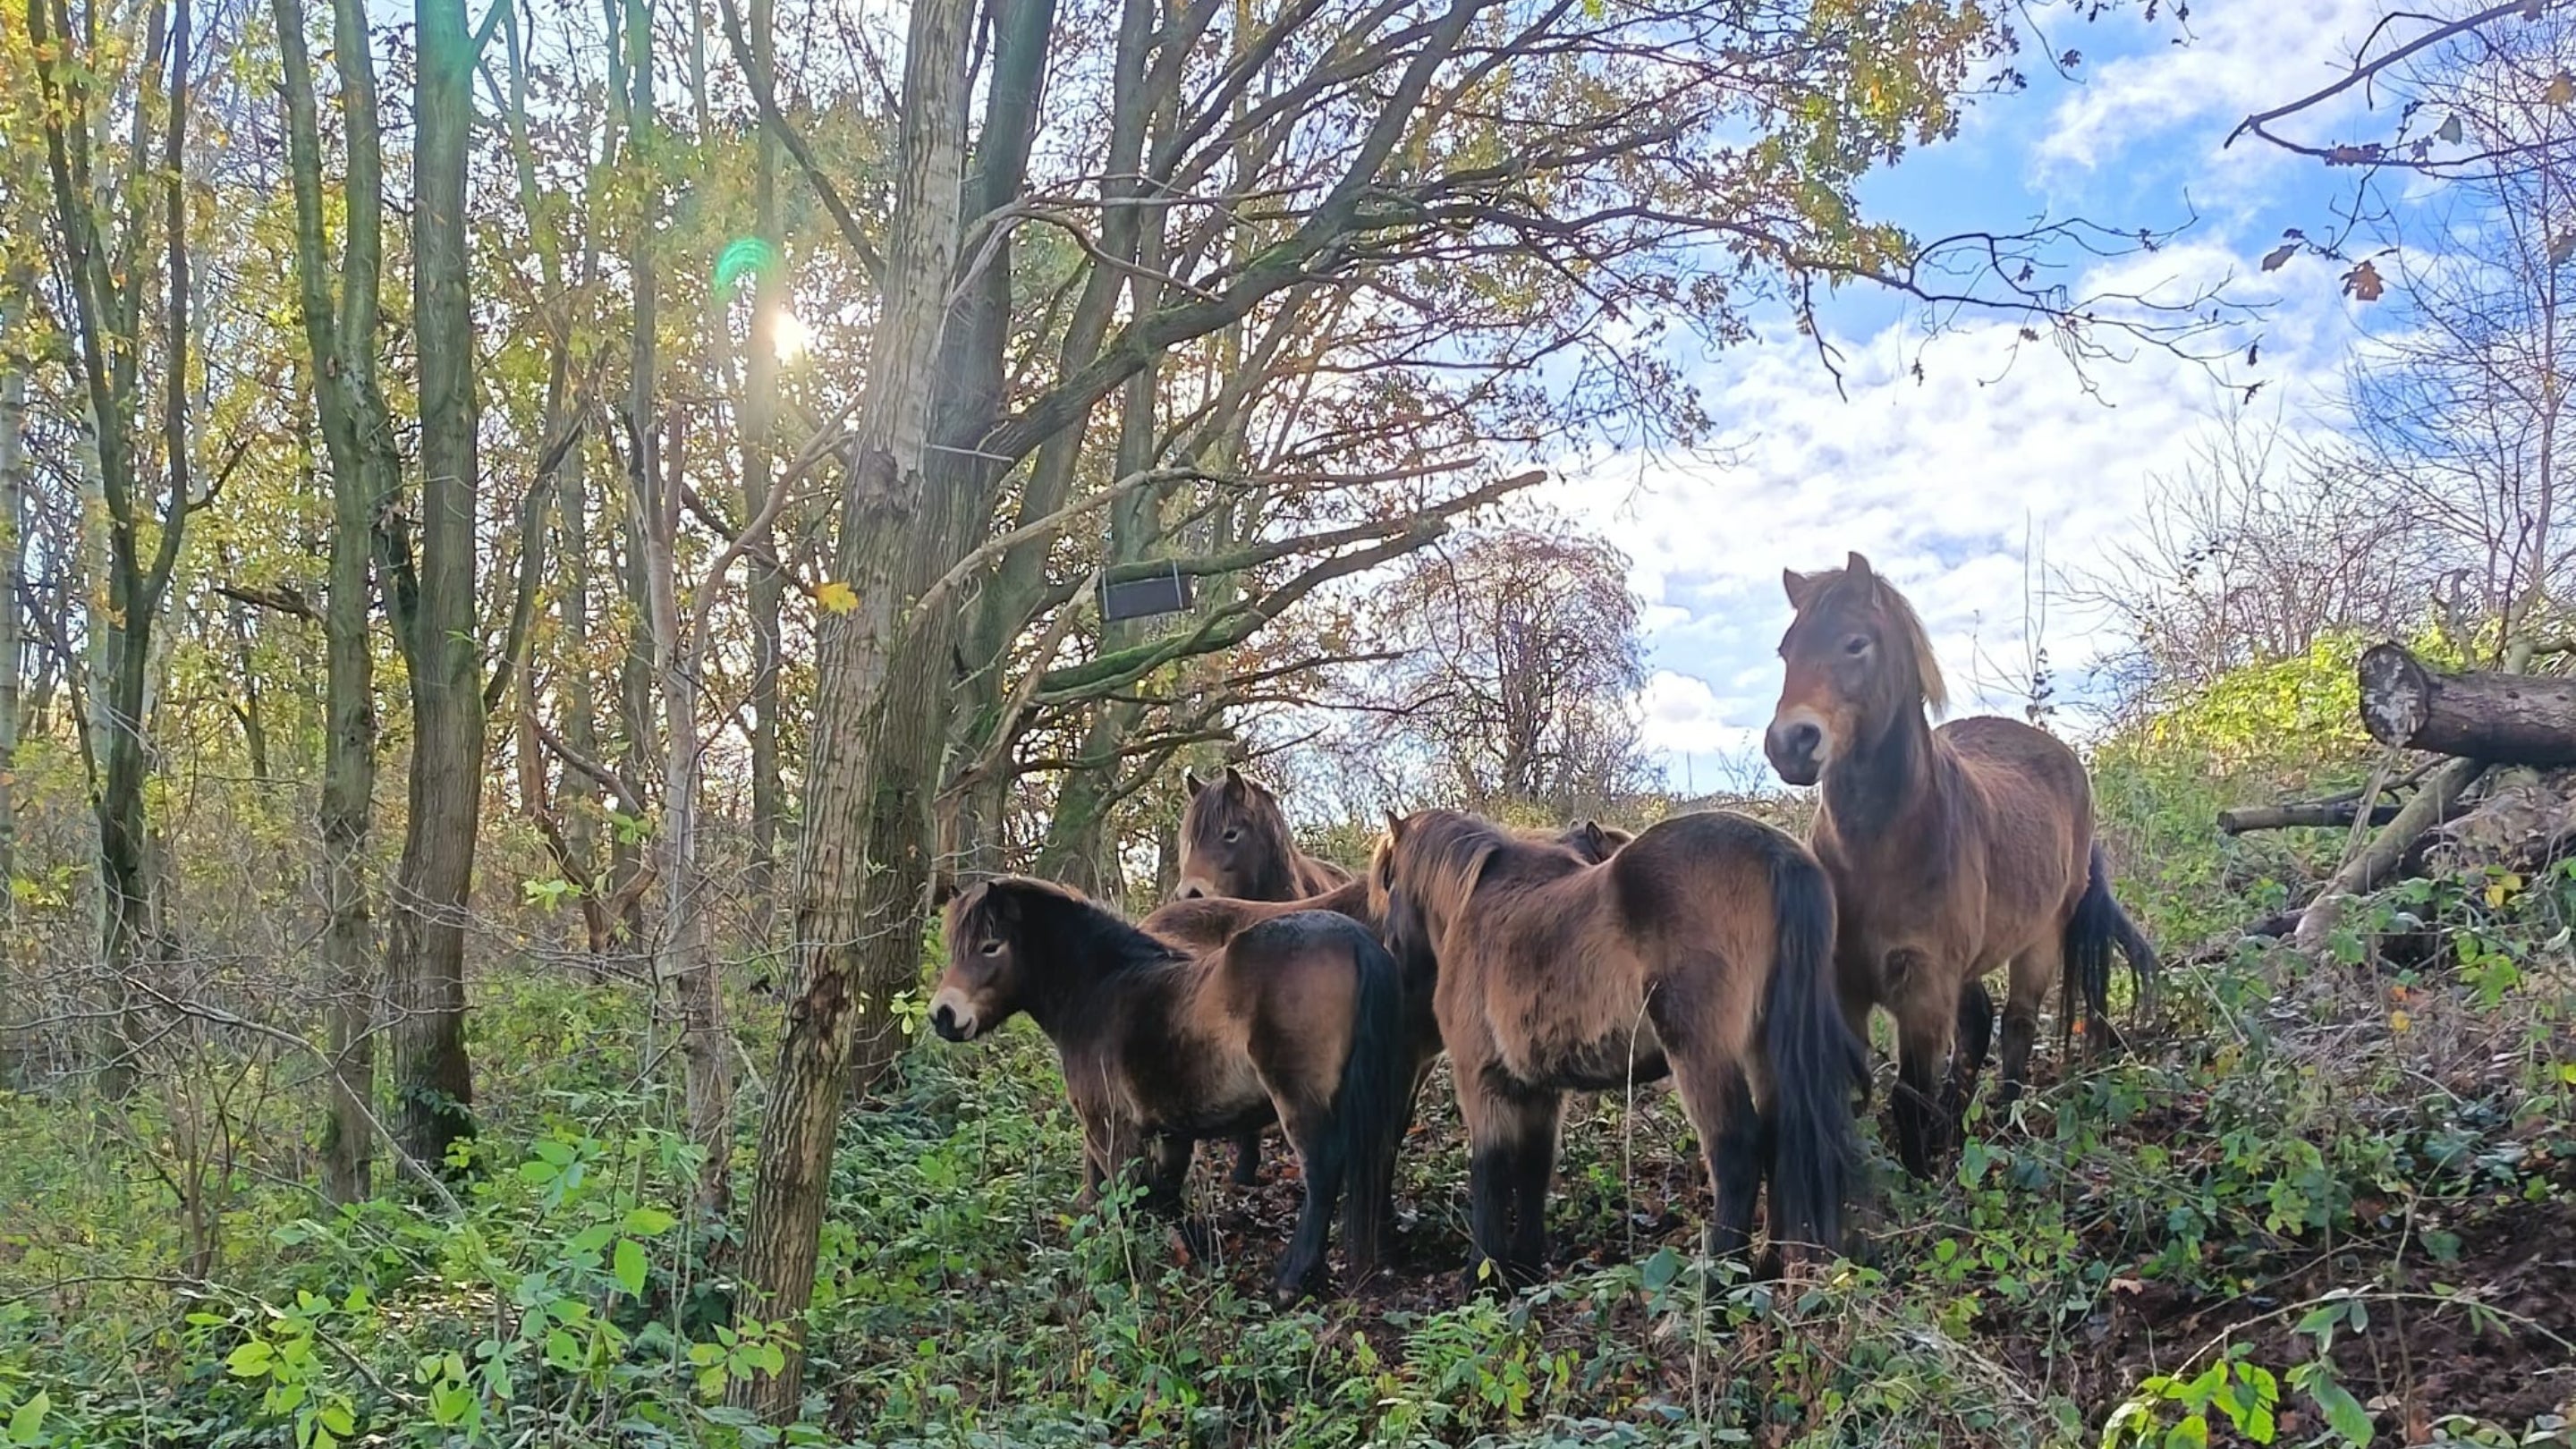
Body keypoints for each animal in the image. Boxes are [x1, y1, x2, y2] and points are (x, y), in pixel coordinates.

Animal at [931, 876, 1414, 1305]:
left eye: (991, 945)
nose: (943, 1015)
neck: (1101, 989)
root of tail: (1357, 941)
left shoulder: (1108, 1129)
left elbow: (1118, 1197)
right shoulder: (1172, 1131)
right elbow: (1161, 1194)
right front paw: (1192, 1248)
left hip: (1301, 1103)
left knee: (1323, 1174)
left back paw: (1290, 1282)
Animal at [1369, 808, 1867, 1287]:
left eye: (1390, 881)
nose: (1390, 950)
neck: (1475, 905)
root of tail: (1777, 856)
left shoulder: (1480, 1078)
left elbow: (1489, 1171)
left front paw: (1481, 1276)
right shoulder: (1540, 1089)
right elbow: (1533, 1167)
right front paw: (1526, 1269)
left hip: (1702, 1054)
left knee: (1737, 1152)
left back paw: (1721, 1282)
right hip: (1763, 1052)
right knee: (1782, 1141)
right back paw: (1766, 1265)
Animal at [1763, 551, 2158, 1179]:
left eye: (1856, 643)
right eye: (1786, 650)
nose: (1791, 744)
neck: (1884, 846)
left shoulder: (1924, 986)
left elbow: (1908, 1092)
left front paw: (1921, 1176)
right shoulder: (1845, 983)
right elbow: (1852, 1094)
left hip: (2041, 936)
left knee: (2017, 1023)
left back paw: (2005, 1122)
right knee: (1978, 1021)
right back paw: (1956, 1122)